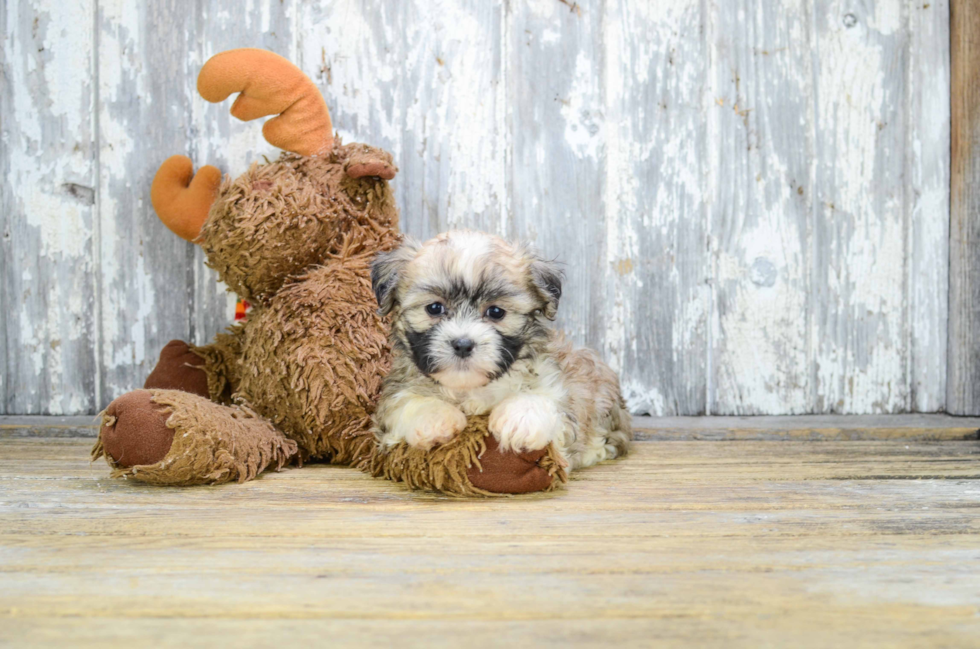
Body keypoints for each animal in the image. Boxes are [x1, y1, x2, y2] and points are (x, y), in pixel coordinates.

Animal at [372, 230, 632, 468]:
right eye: (434, 308)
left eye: (496, 312)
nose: (463, 344)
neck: (470, 389)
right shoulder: (394, 392)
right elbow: (405, 401)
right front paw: (435, 418)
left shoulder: (556, 385)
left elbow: (545, 398)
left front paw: (520, 419)